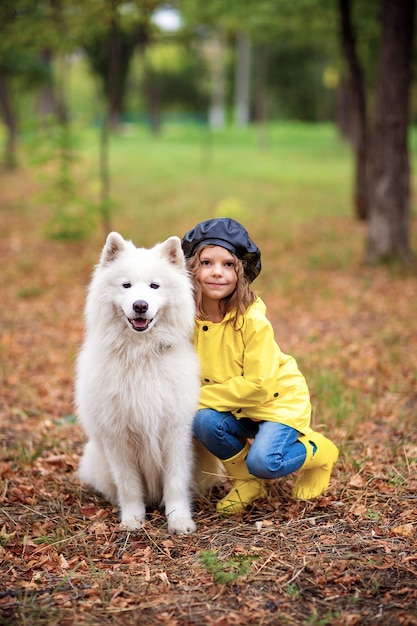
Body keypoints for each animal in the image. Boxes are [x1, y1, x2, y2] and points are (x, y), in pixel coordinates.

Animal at [75, 232, 218, 532]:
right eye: (126, 285)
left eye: (155, 286)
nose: (140, 305)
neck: (141, 355)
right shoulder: (117, 437)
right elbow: (129, 486)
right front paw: (132, 519)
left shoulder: (175, 432)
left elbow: (175, 483)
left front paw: (179, 520)